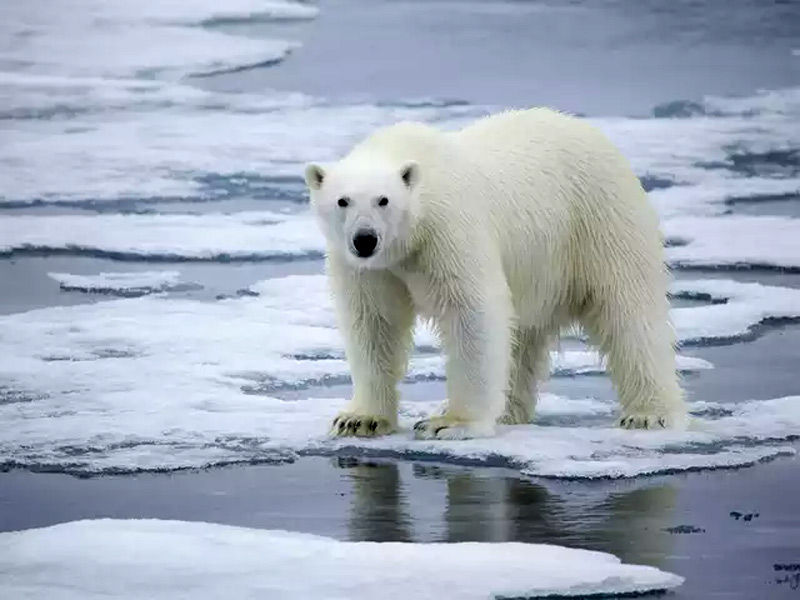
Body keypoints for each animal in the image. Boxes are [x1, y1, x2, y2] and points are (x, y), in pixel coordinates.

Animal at [306, 108, 688, 438]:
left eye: (384, 200)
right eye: (342, 201)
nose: (365, 239)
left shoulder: (448, 230)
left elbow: (472, 313)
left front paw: (450, 422)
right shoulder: (367, 268)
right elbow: (373, 323)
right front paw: (360, 419)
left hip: (600, 222)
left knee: (629, 313)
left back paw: (648, 413)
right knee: (521, 337)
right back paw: (508, 410)